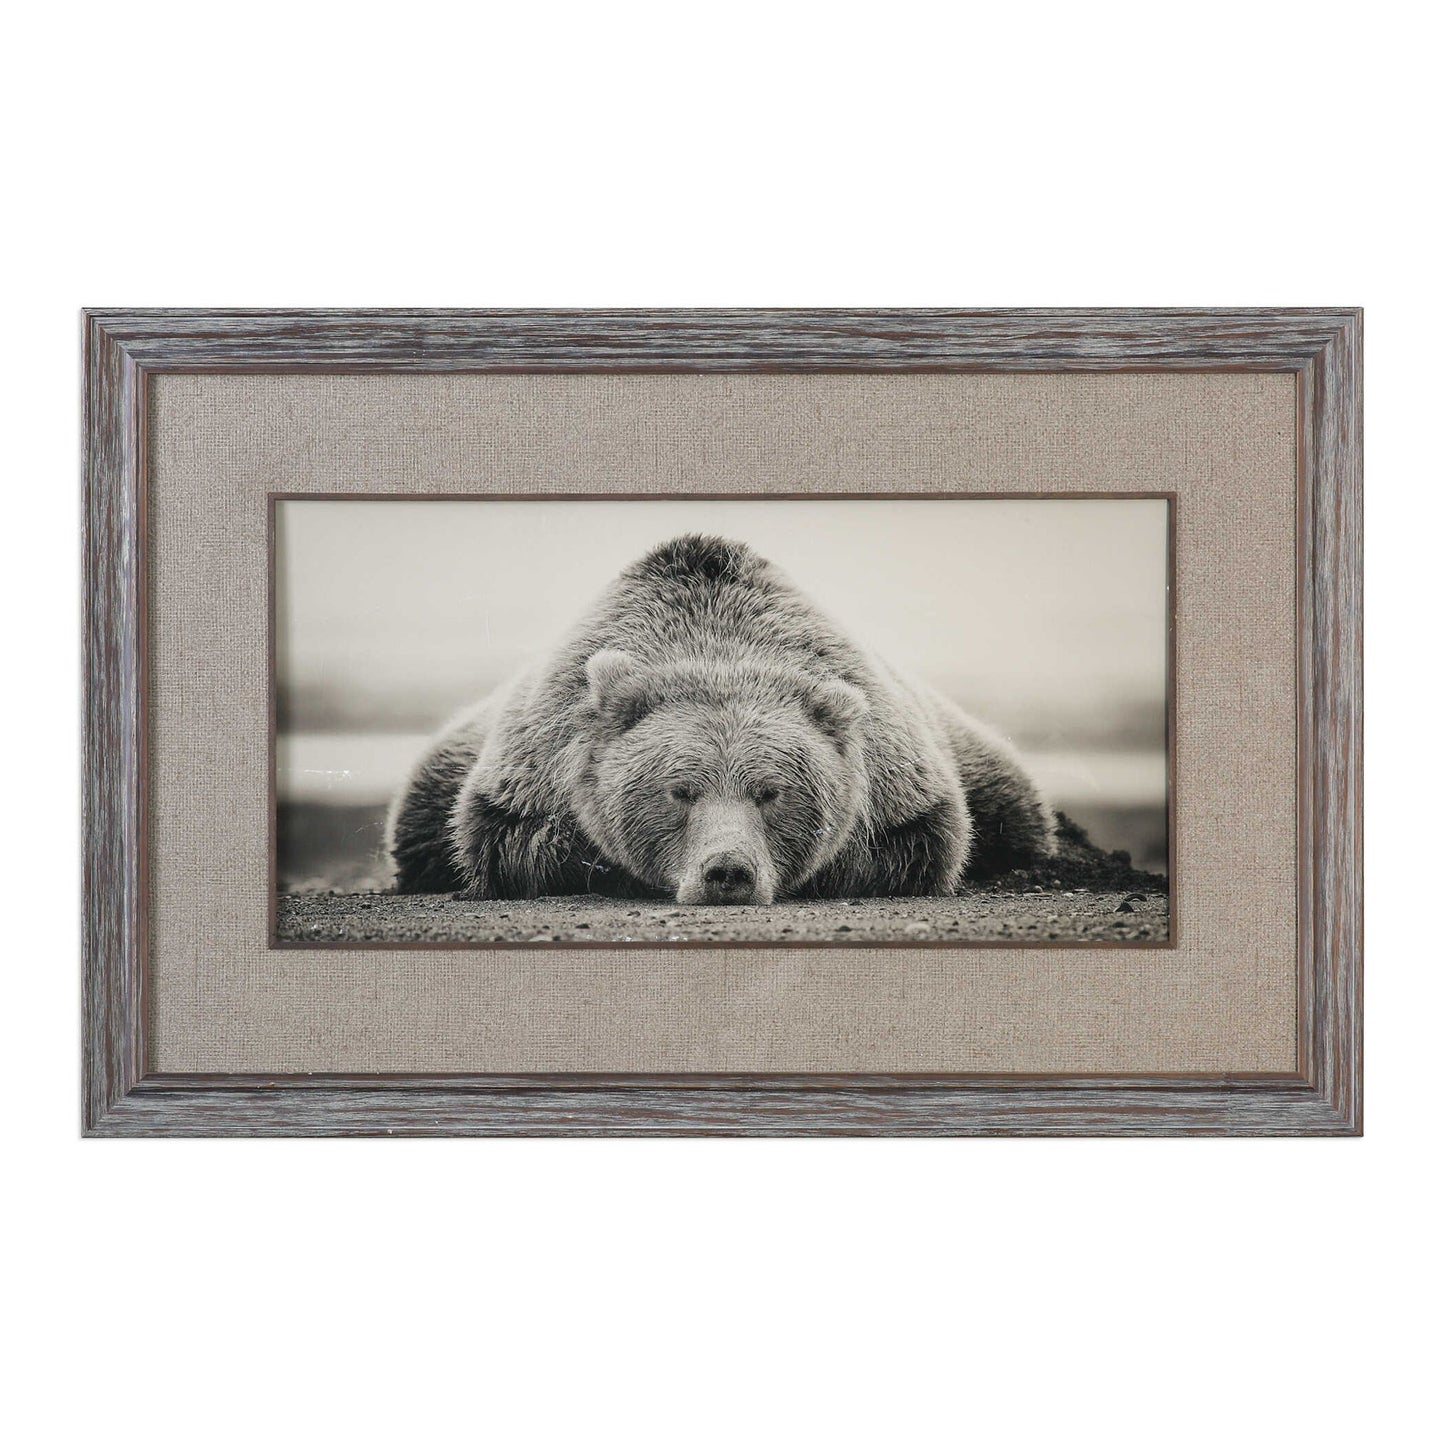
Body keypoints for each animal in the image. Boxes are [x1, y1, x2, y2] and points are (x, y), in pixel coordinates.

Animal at [386, 534, 1055, 904]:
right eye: (680, 790)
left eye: (771, 792)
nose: (727, 872)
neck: (717, 643)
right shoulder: (532, 770)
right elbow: (512, 842)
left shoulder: (901, 781)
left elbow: (918, 843)